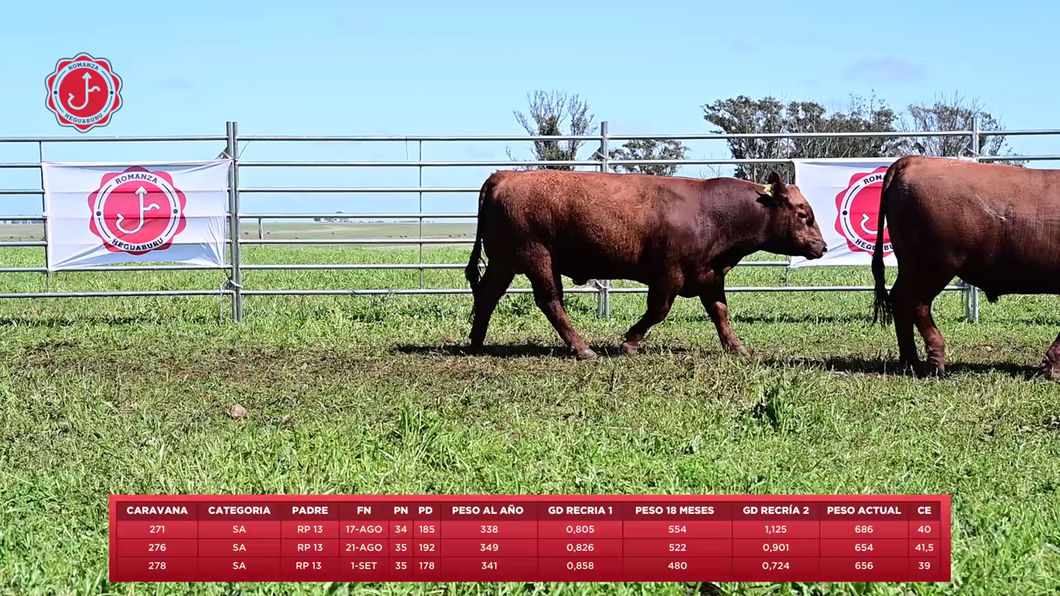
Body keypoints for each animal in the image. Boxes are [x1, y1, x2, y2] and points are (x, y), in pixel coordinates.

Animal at [464, 169, 826, 360]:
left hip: (504, 262)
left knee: (487, 295)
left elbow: (720, 312)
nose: (821, 247)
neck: (712, 212)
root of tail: (505, 176)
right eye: (803, 214)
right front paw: (629, 342)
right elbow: (658, 310)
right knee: (550, 300)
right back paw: (582, 349)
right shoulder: (668, 275)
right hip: (538, 258)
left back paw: (476, 342)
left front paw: (736, 346)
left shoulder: (710, 276)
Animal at [869, 153, 1060, 375]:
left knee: (901, 300)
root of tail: (914, 160)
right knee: (915, 303)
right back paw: (934, 362)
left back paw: (910, 362)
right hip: (934, 265)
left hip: (913, 265)